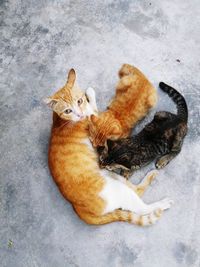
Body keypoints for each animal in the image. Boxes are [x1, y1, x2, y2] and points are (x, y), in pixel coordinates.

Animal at [44, 68, 173, 226]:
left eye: (79, 101)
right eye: (68, 110)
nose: (79, 114)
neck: (60, 120)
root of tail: (78, 210)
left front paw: (88, 94)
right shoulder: (94, 117)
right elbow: (94, 109)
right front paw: (91, 94)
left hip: (112, 176)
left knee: (135, 189)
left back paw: (152, 175)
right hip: (116, 189)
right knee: (141, 205)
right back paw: (163, 203)